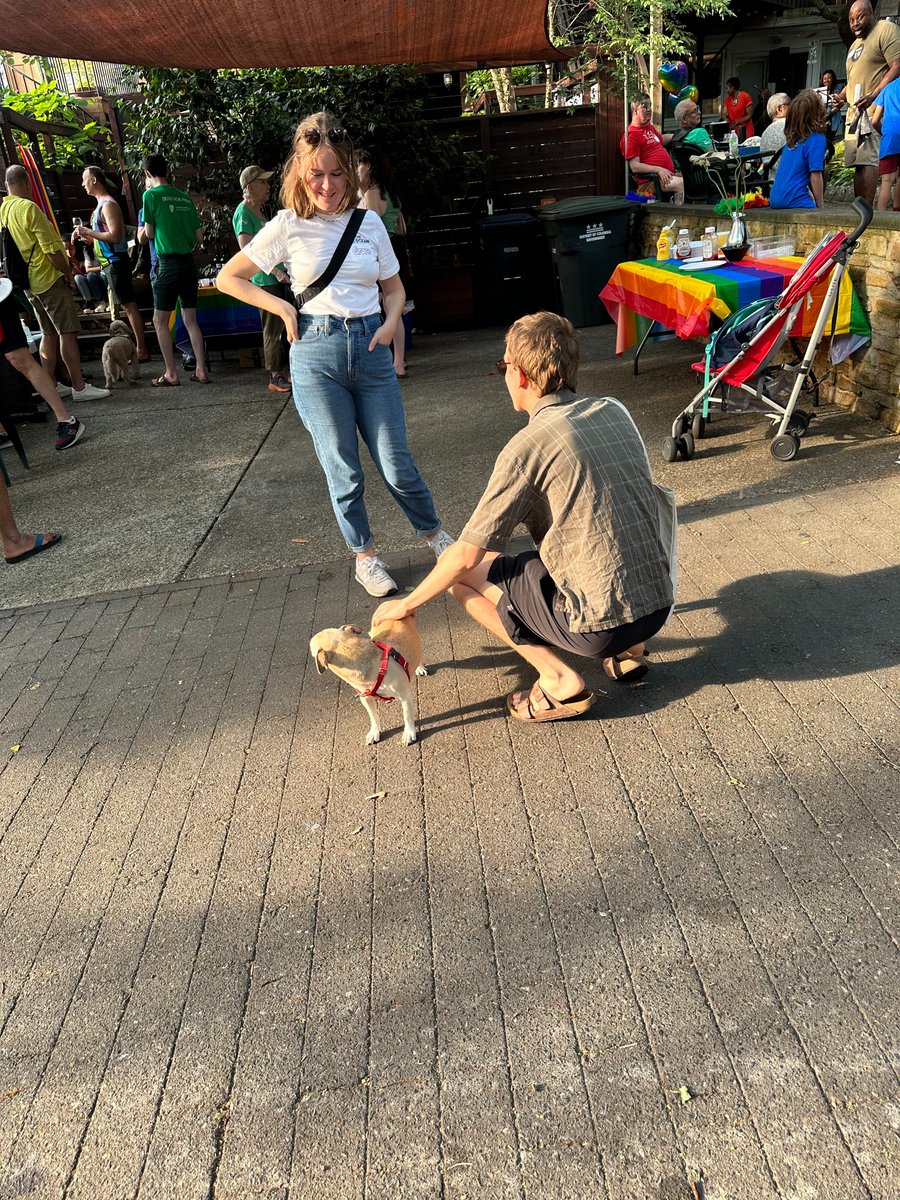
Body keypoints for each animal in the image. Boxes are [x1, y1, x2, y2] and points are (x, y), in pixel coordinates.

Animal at [309, 614, 429, 744]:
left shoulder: (405, 695)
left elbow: (407, 715)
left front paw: (409, 733)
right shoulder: (365, 697)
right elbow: (373, 716)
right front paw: (374, 732)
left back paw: (419, 667)